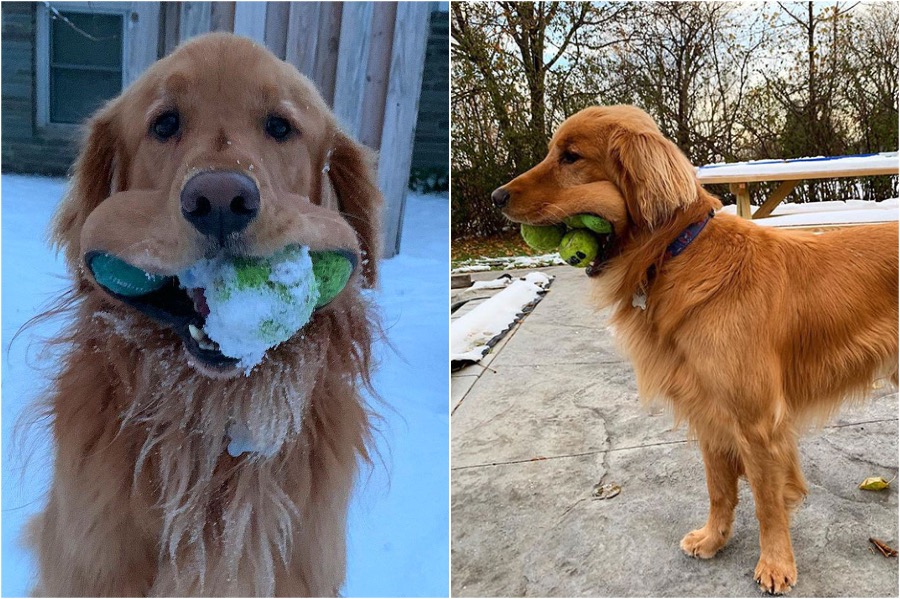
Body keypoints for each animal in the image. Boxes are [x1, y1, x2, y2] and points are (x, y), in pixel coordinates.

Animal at [496, 104, 896, 596]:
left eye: (571, 157)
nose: (495, 196)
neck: (674, 254)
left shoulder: (757, 424)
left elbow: (766, 503)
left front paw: (775, 563)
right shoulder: (709, 413)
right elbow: (719, 489)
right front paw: (713, 539)